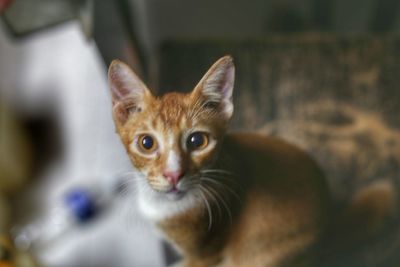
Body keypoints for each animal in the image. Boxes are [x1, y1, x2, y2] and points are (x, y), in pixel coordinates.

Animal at [107, 55, 396, 266]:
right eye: (147, 143)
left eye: (197, 141)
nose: (173, 175)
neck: (165, 206)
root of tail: (329, 225)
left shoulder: (207, 253)